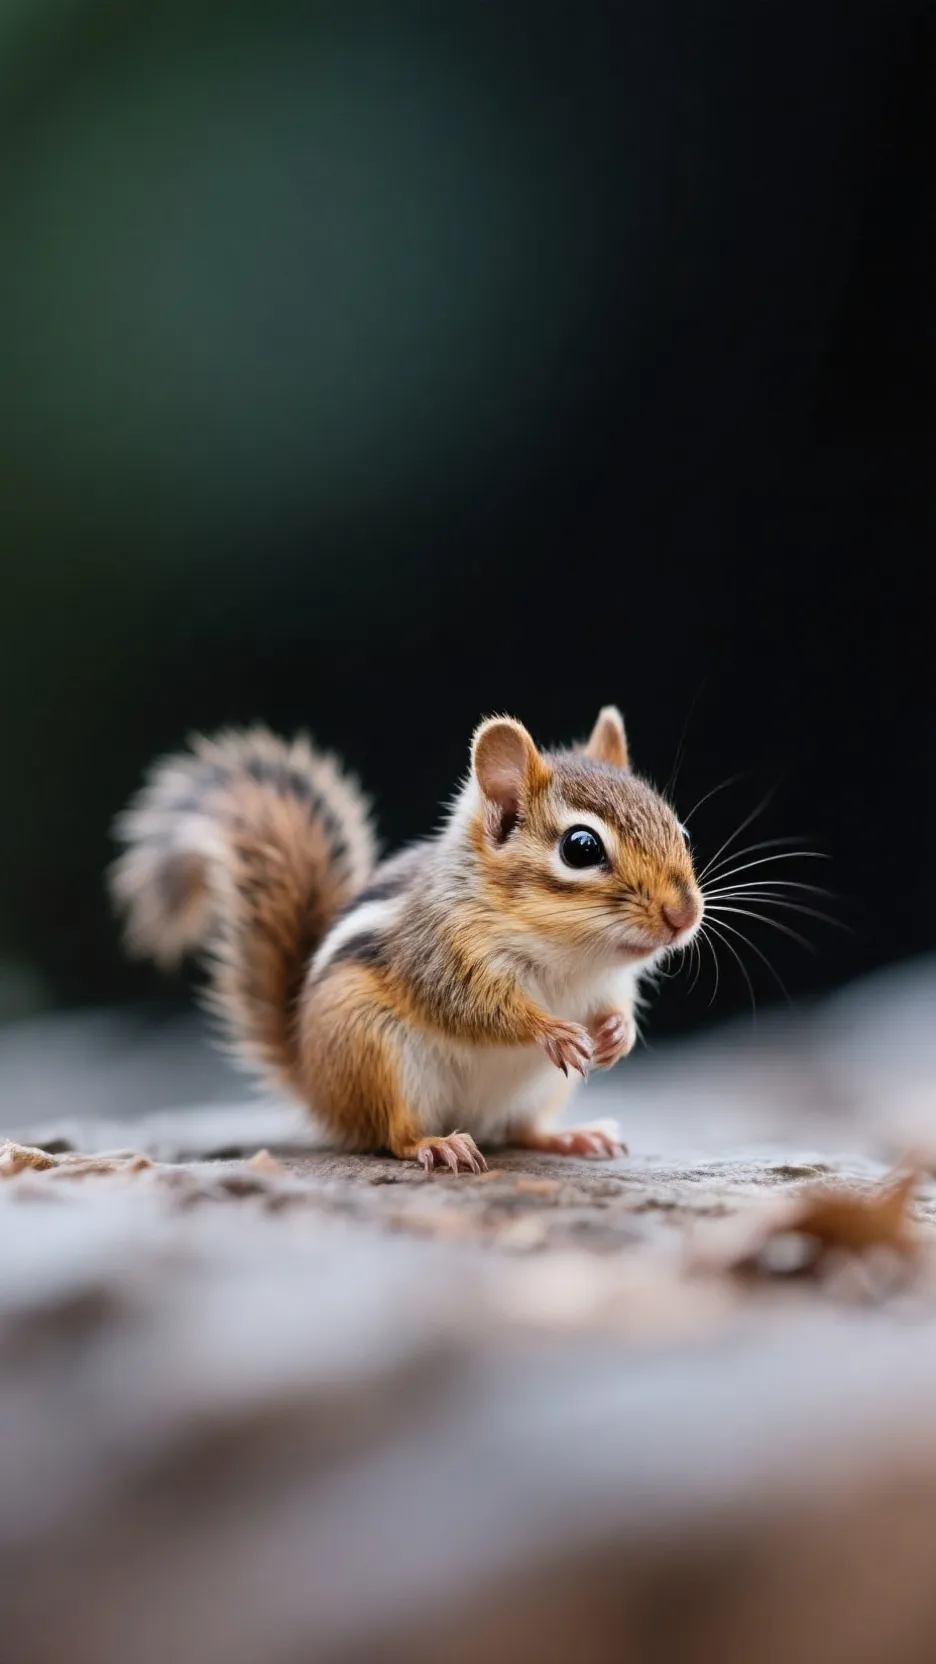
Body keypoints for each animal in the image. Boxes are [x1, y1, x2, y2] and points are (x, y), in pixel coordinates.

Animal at [109, 707, 703, 1173]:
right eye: (581, 848)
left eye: (680, 830)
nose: (683, 915)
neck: (572, 956)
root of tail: (314, 1082)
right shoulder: (437, 954)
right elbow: (477, 1008)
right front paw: (555, 1031)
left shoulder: (609, 982)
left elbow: (616, 1004)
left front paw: (618, 1034)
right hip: (373, 1050)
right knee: (391, 1135)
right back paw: (437, 1144)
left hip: (536, 1091)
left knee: (520, 1131)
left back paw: (571, 1136)